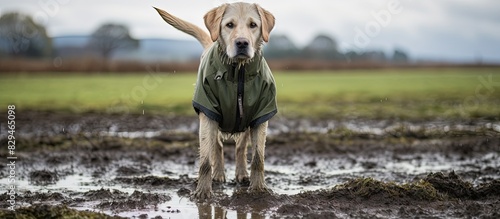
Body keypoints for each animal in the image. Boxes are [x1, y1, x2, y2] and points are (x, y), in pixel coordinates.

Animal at [153, 2, 278, 200]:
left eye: (253, 25)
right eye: (229, 25)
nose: (242, 43)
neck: (239, 71)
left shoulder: (260, 117)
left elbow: (258, 158)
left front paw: (258, 189)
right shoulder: (208, 114)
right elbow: (205, 160)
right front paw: (203, 192)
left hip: (244, 125)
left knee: (240, 148)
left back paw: (242, 174)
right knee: (217, 148)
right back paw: (218, 174)